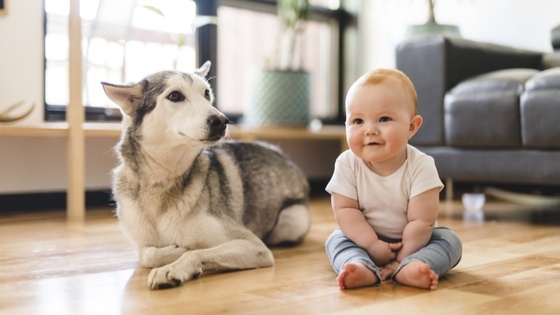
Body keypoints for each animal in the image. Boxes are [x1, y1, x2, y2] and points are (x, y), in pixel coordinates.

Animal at [101, 62, 310, 292]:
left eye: (207, 94)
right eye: (175, 96)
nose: (222, 120)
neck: (162, 181)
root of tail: (282, 154)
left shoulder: (254, 246)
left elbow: (196, 251)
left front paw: (175, 264)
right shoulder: (142, 243)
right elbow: (147, 254)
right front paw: (175, 251)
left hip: (292, 221)